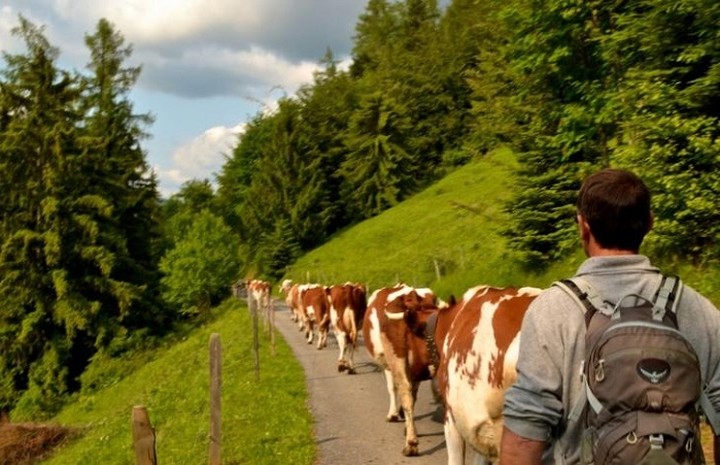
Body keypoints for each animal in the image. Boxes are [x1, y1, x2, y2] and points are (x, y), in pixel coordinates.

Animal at [362, 282, 442, 456]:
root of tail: (412, 296)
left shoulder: (387, 364)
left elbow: (392, 388)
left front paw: (393, 415)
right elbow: (414, 395)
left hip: (396, 357)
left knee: (404, 391)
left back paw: (411, 443)